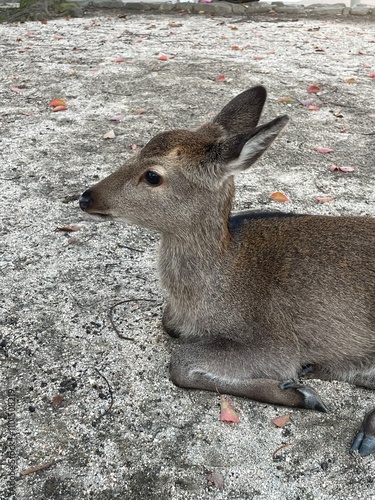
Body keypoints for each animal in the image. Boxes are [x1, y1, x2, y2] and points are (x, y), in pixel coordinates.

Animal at [79, 87, 375, 458]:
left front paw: (299, 392)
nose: (85, 197)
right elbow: (169, 328)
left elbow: (180, 362)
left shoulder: (275, 342)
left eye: (153, 176)